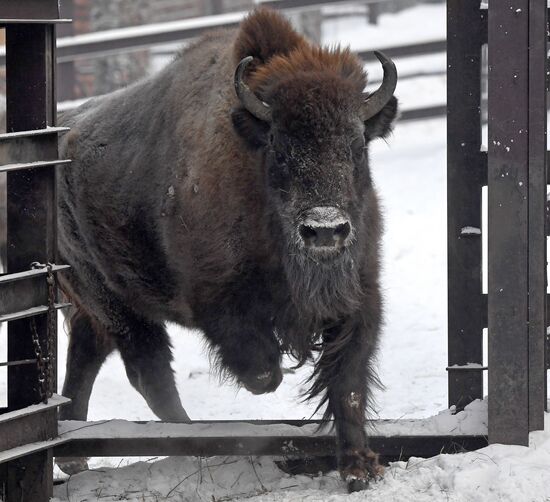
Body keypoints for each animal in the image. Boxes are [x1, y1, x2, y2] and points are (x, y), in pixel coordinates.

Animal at [58, 7, 398, 492]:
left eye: (356, 145)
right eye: (279, 146)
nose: (325, 229)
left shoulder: (359, 299)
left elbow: (347, 381)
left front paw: (360, 467)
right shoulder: (219, 304)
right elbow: (263, 372)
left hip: (99, 309)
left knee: (89, 354)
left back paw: (75, 458)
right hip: (118, 305)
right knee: (149, 373)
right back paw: (186, 440)